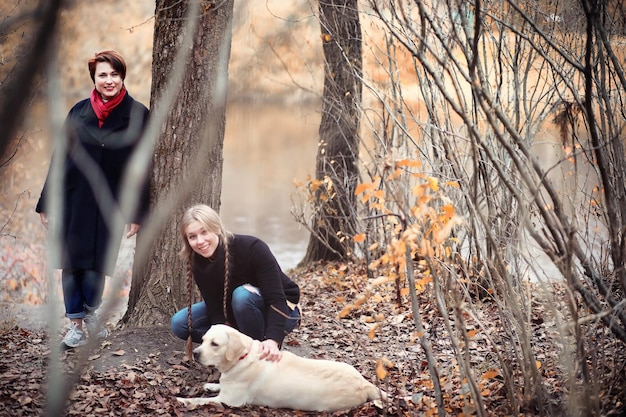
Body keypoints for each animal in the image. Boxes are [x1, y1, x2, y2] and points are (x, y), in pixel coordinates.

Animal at [176, 324, 388, 410]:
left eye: (215, 344)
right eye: (203, 340)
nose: (195, 353)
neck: (242, 357)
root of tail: (365, 384)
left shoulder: (229, 401)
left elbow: (200, 400)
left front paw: (182, 400)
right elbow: (219, 384)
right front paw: (211, 384)